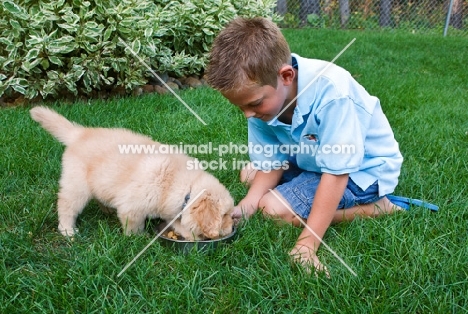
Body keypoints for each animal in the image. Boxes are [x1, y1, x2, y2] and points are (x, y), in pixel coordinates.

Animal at [29, 106, 234, 240]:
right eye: (224, 215)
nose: (232, 226)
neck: (184, 187)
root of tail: (79, 133)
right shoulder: (133, 207)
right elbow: (134, 225)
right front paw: (137, 238)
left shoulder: (172, 209)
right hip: (77, 185)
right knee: (66, 206)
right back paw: (67, 231)